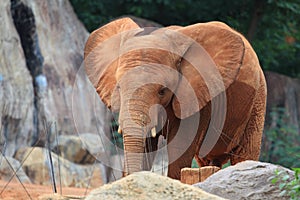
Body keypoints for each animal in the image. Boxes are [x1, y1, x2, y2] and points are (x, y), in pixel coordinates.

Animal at [83, 17, 266, 180]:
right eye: (119, 88)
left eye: (162, 91)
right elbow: (146, 146)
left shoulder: (197, 97)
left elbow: (180, 148)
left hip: (258, 102)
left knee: (244, 156)